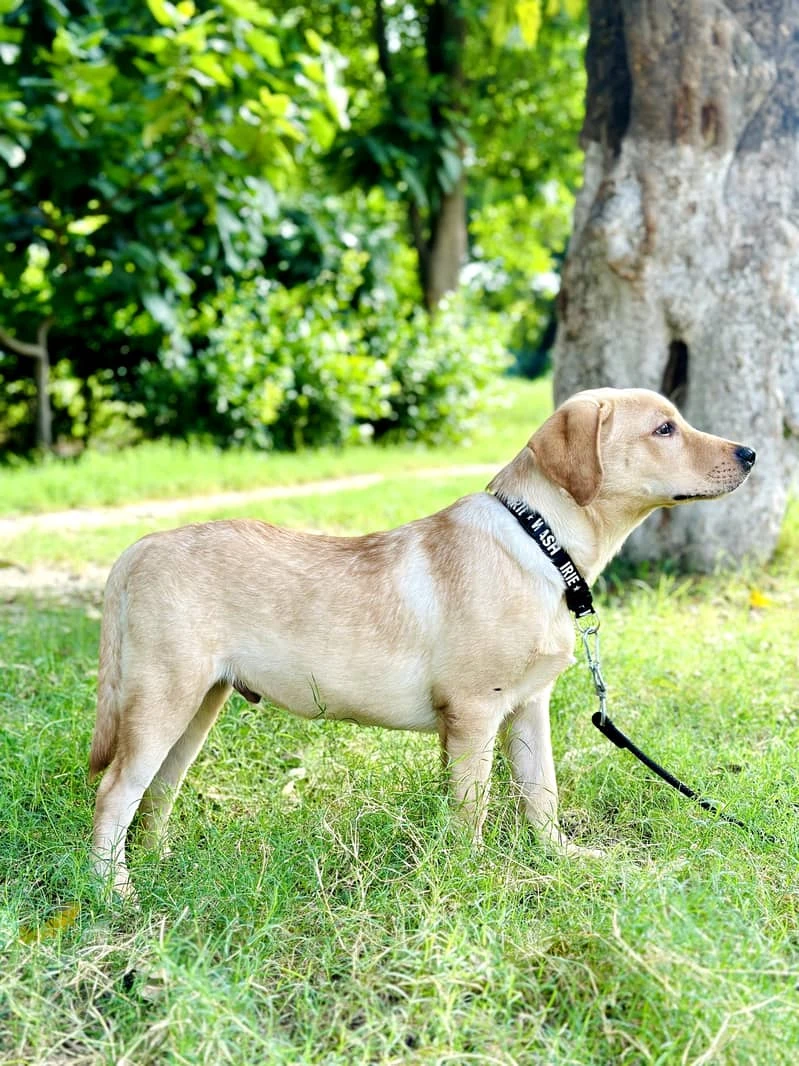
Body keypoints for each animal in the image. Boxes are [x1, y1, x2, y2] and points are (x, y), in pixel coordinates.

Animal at [88, 390, 758, 891]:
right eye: (664, 429)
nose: (751, 452)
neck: (541, 542)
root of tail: (136, 550)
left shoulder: (527, 708)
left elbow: (542, 795)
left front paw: (560, 859)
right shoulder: (474, 712)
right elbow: (471, 809)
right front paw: (474, 877)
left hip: (198, 707)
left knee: (156, 792)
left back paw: (159, 866)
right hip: (163, 702)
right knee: (114, 793)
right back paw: (113, 892)